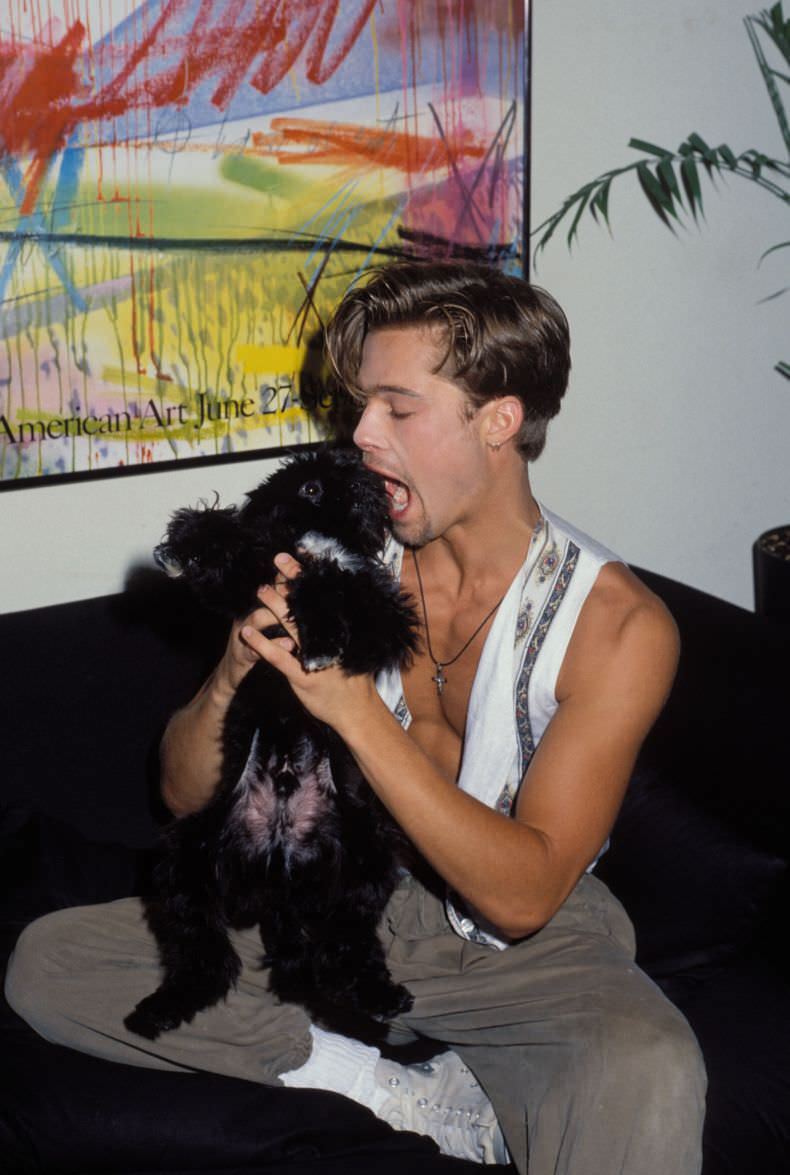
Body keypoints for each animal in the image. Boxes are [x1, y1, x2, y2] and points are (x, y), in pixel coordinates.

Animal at [124, 446, 418, 1038]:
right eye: (310, 487)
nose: (359, 467)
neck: (322, 536)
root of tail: (278, 872)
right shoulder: (244, 593)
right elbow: (241, 547)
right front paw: (188, 538)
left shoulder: (383, 619)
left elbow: (331, 582)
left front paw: (320, 634)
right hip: (185, 861)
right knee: (206, 956)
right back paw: (161, 1008)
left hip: (369, 857)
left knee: (345, 947)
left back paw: (380, 996)